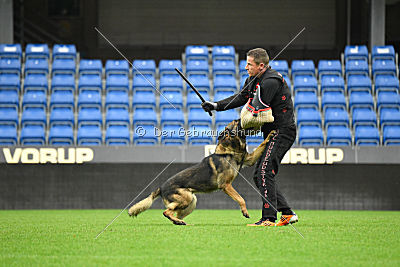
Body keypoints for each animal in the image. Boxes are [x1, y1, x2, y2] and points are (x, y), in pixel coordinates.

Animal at [128, 120, 276, 225]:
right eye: (236, 122)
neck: (229, 152)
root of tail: (161, 187)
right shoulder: (226, 185)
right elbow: (241, 198)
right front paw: (244, 211)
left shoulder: (249, 160)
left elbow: (261, 145)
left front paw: (270, 135)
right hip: (187, 198)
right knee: (166, 212)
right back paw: (178, 221)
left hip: (192, 201)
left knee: (174, 213)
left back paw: (180, 222)